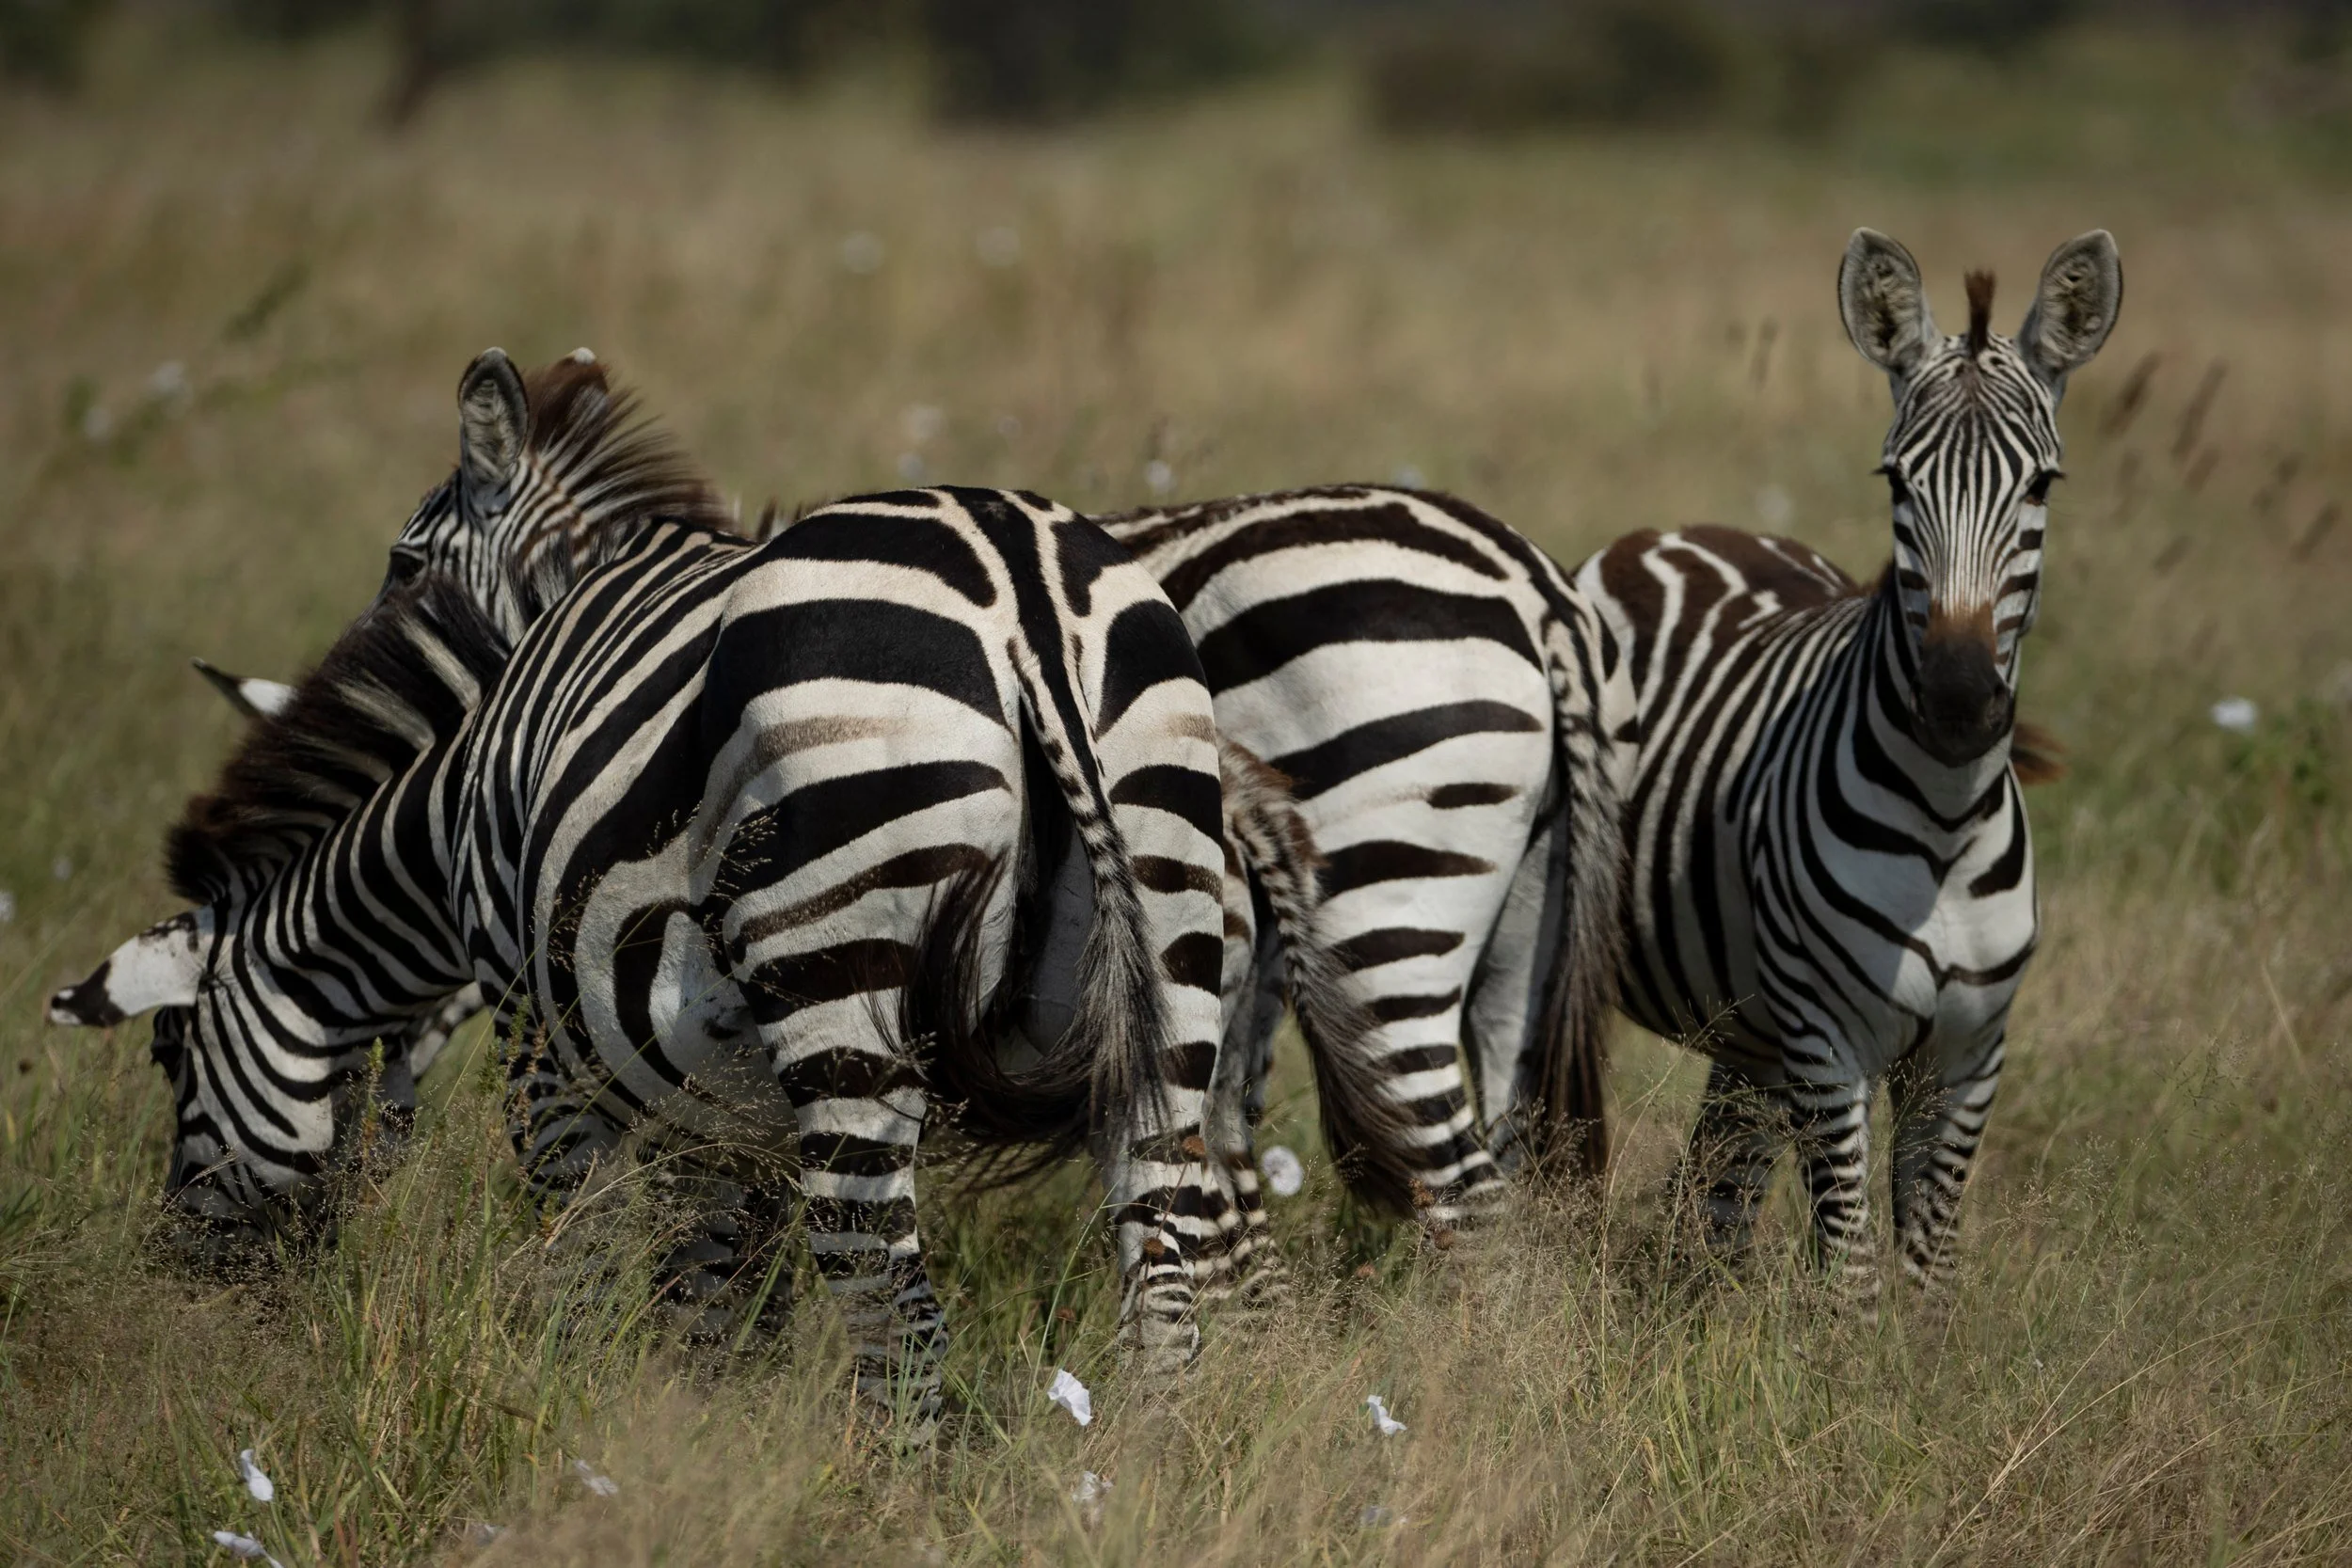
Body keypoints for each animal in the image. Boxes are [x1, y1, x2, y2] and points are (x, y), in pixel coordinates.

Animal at [52, 480, 1239, 1420]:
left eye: (165, 1050)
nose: (178, 1274)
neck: (447, 807)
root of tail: (1023, 591)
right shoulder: (721, 1096)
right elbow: (721, 1288)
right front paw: (712, 1434)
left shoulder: (535, 1025)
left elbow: (588, 1252)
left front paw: (581, 1423)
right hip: (1166, 924)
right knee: (1163, 1286)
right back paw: (1146, 1479)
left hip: (843, 971)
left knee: (893, 1306)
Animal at [1572, 229, 2122, 1304]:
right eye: (1896, 482)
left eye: (2041, 485)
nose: (1957, 703)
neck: (1946, 819)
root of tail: (1677, 532)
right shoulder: (1831, 1044)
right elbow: (1858, 1275)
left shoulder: (1967, 1056)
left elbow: (1928, 1271)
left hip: (1750, 1022)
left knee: (1718, 1185)